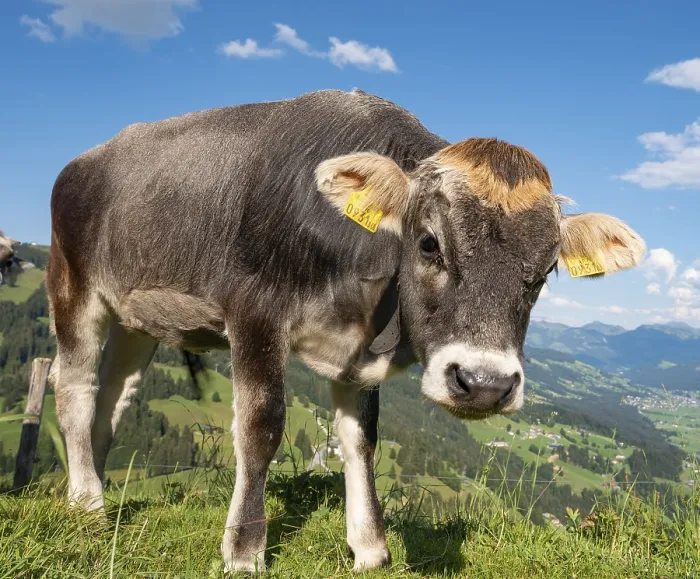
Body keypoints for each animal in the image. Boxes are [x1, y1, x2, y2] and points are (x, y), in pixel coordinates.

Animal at [46, 89, 646, 574]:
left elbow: (361, 440)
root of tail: (85, 159)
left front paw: (370, 548)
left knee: (113, 399)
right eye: (429, 243)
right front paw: (244, 552)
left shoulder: (357, 354)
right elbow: (261, 427)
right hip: (73, 286)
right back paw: (88, 504)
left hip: (136, 318)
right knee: (73, 387)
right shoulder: (254, 314)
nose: (484, 385)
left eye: (544, 273)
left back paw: (91, 488)